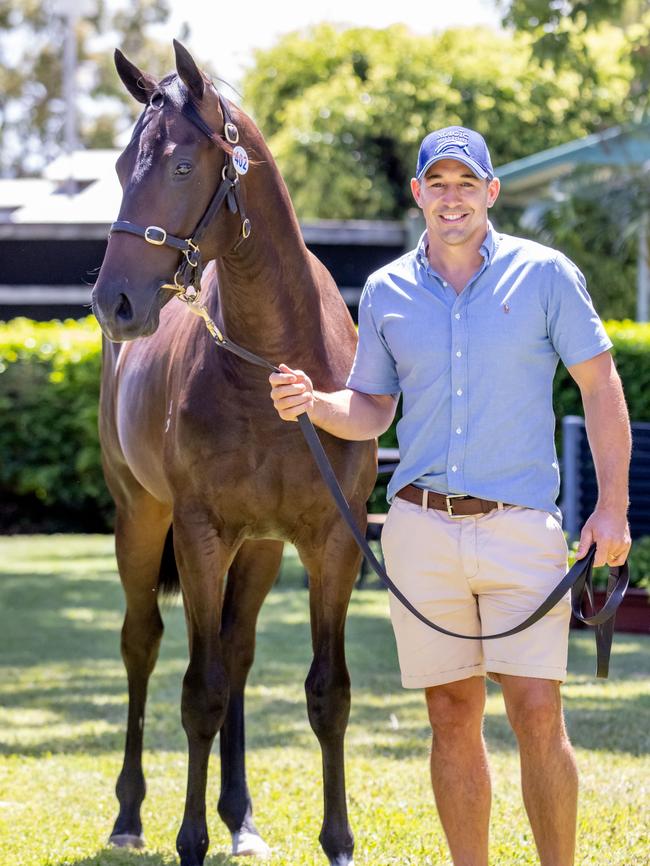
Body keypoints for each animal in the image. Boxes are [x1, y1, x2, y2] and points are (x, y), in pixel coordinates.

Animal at [91, 44, 374, 864]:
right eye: (119, 166)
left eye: (183, 166)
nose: (114, 302)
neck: (273, 362)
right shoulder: (200, 533)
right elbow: (200, 691)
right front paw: (188, 838)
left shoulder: (332, 540)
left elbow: (327, 692)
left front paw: (337, 841)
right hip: (142, 520)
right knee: (144, 645)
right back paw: (130, 817)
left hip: (260, 550)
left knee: (238, 649)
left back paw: (241, 815)